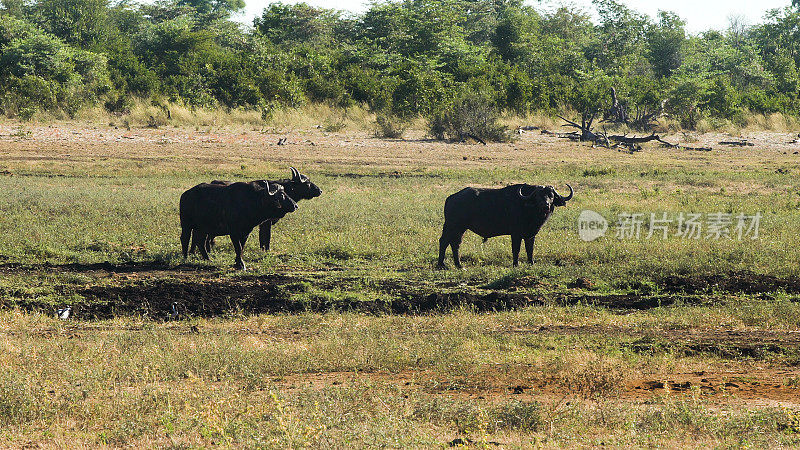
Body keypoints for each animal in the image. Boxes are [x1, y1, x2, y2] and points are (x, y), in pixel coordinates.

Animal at [434, 182, 572, 268]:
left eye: (551, 195)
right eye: (538, 196)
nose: (546, 205)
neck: (527, 207)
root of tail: (451, 198)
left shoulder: (531, 234)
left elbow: (530, 249)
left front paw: (531, 263)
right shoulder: (516, 234)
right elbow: (516, 249)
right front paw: (515, 264)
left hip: (459, 229)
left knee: (454, 243)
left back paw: (457, 265)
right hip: (453, 226)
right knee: (445, 241)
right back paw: (443, 265)